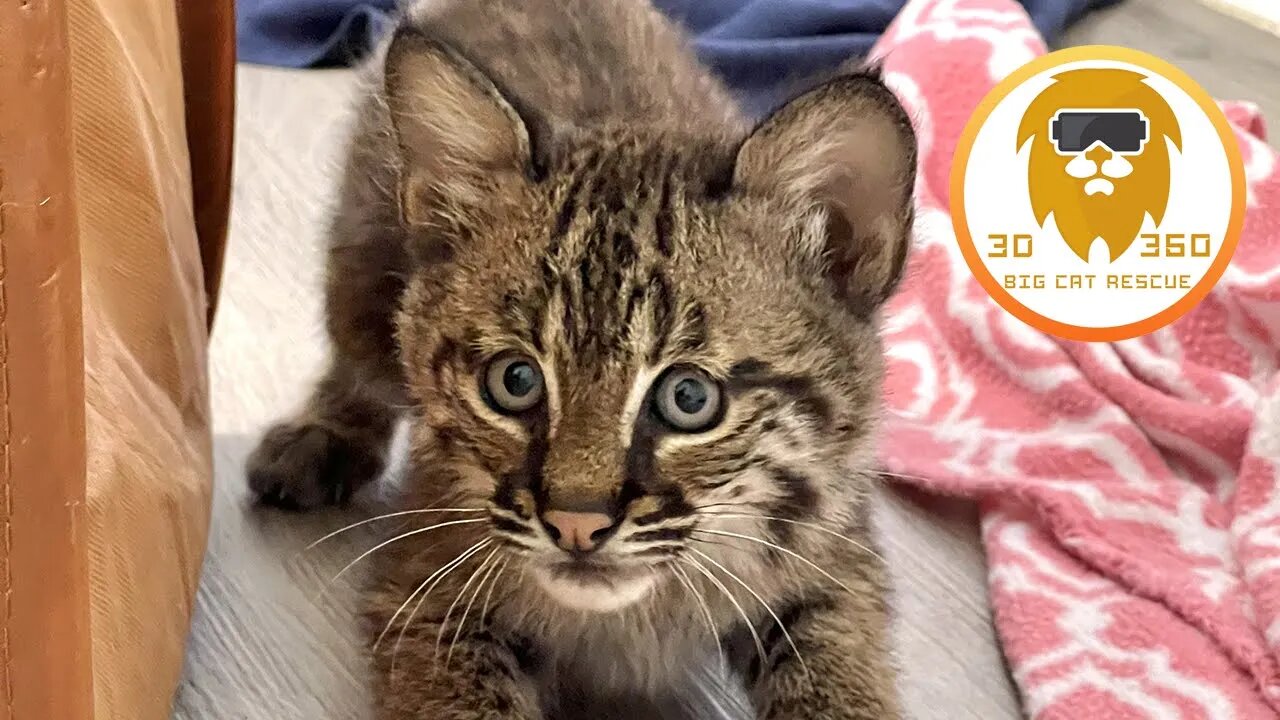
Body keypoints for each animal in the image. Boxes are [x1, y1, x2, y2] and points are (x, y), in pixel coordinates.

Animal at [244, 0, 916, 712]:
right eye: (513, 381)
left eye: (689, 398)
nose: (573, 525)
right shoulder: (425, 590)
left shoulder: (835, 561)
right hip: (360, 263)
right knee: (358, 359)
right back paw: (320, 436)